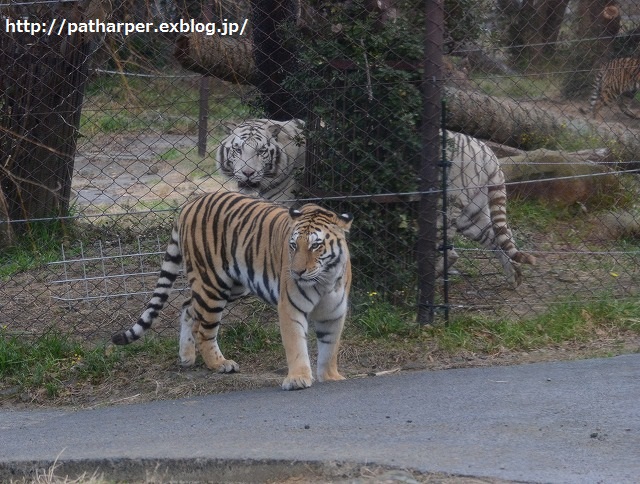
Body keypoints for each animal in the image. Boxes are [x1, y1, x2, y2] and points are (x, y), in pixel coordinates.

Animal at [114, 191, 356, 392]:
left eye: (316, 246)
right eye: (293, 245)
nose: (296, 272)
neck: (325, 279)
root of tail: (191, 203)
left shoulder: (334, 312)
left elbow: (330, 348)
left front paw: (331, 376)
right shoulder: (290, 308)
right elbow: (296, 344)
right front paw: (297, 379)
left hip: (234, 286)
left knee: (188, 308)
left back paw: (186, 357)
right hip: (212, 285)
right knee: (204, 331)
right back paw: (219, 364)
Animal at [440, 129, 536, 288]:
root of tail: (487, 153)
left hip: (452, 201)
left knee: (446, 247)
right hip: (472, 215)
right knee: (500, 239)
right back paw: (514, 277)